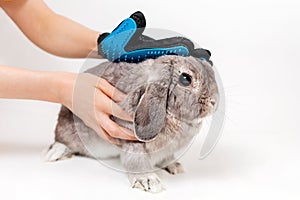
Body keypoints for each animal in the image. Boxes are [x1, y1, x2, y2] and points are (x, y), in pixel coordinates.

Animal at [44, 55, 218, 193]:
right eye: (185, 79)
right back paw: (54, 154)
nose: (214, 102)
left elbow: (166, 158)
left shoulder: (165, 151)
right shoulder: (133, 143)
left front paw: (175, 167)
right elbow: (137, 163)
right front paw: (150, 182)